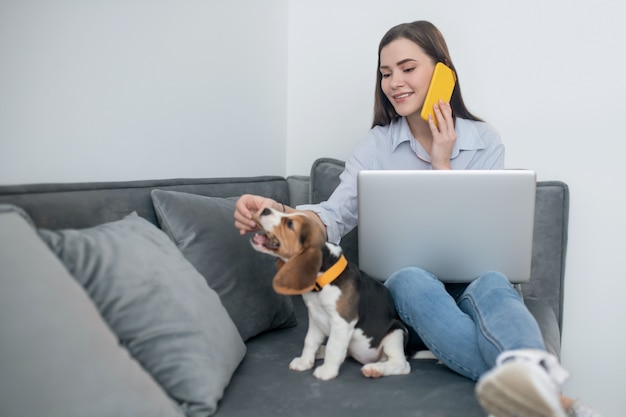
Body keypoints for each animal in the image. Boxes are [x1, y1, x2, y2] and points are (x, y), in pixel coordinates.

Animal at [249, 206, 410, 378]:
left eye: (290, 224)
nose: (265, 209)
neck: (323, 282)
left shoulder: (342, 322)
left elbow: (334, 347)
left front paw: (327, 371)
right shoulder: (315, 318)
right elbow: (310, 342)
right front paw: (304, 362)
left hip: (395, 333)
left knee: (401, 364)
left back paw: (375, 369)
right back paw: (321, 351)